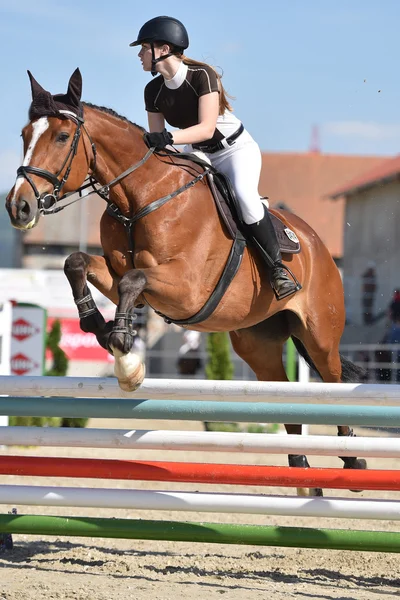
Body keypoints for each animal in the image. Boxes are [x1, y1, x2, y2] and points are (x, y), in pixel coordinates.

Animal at [5, 68, 366, 494]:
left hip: (320, 335)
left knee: (333, 384)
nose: (18, 206)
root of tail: (315, 244)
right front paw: (101, 328)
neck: (140, 196)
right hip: (257, 345)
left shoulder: (187, 290)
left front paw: (124, 350)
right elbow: (78, 263)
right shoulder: (117, 272)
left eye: (62, 137)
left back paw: (354, 462)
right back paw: (304, 476)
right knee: (284, 397)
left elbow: (132, 281)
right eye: (25, 135)